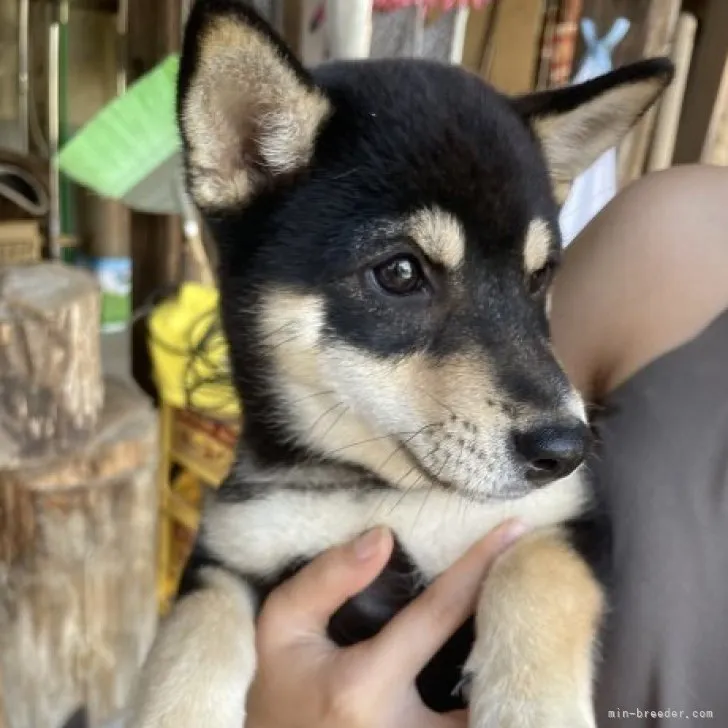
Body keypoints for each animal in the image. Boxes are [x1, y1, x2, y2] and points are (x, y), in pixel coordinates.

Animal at [129, 2, 672, 724]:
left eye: (540, 278)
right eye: (400, 272)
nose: (566, 450)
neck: (380, 495)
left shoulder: (563, 521)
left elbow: (537, 572)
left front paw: (533, 707)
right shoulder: (232, 550)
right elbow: (193, 633)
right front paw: (176, 709)